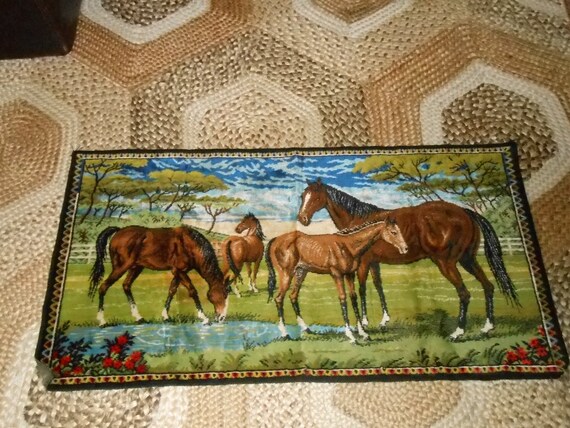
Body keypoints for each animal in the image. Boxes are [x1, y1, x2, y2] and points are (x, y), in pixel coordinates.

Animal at [88, 225, 229, 326]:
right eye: (221, 295)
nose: (222, 317)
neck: (187, 243)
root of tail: (119, 231)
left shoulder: (179, 272)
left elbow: (172, 291)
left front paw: (165, 316)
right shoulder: (178, 271)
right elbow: (192, 291)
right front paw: (204, 317)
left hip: (136, 268)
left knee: (126, 286)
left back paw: (139, 318)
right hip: (121, 268)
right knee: (103, 287)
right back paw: (102, 321)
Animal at [265, 219, 408, 343]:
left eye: (399, 230)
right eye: (393, 232)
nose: (405, 248)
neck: (348, 245)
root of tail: (275, 240)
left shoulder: (349, 274)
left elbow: (353, 298)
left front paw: (363, 333)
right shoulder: (337, 275)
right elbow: (343, 299)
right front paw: (351, 336)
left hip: (301, 273)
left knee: (293, 296)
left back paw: (306, 328)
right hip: (286, 275)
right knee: (279, 298)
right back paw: (285, 334)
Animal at [297, 180, 520, 340]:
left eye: (314, 196)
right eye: (302, 195)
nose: (302, 219)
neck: (360, 221)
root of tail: (464, 212)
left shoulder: (363, 263)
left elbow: (361, 289)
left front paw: (366, 323)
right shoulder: (375, 263)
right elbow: (378, 286)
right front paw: (384, 320)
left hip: (446, 263)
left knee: (464, 294)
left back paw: (458, 332)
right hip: (468, 260)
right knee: (488, 286)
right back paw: (487, 327)